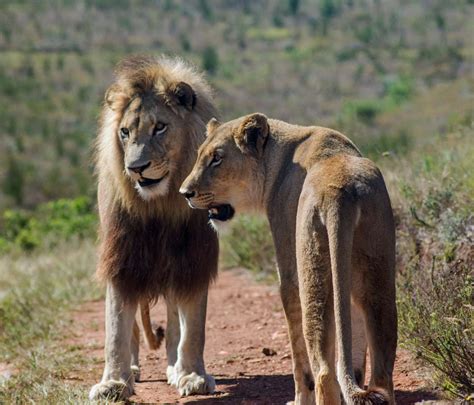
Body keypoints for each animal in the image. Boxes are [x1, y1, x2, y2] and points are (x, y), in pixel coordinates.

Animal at [89, 55, 218, 400]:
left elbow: (193, 328)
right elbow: (116, 327)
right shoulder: (123, 258)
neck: (161, 203)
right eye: (124, 132)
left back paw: (174, 367)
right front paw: (113, 383)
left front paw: (192, 376)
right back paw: (133, 369)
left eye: (160, 127)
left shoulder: (193, 259)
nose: (136, 168)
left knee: (174, 321)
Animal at [181, 112, 396, 402]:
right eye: (200, 155)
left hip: (312, 274)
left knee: (324, 372)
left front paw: (298, 400)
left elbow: (299, 361)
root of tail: (341, 190)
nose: (185, 193)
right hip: (377, 277)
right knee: (382, 372)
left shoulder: (289, 274)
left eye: (217, 158)